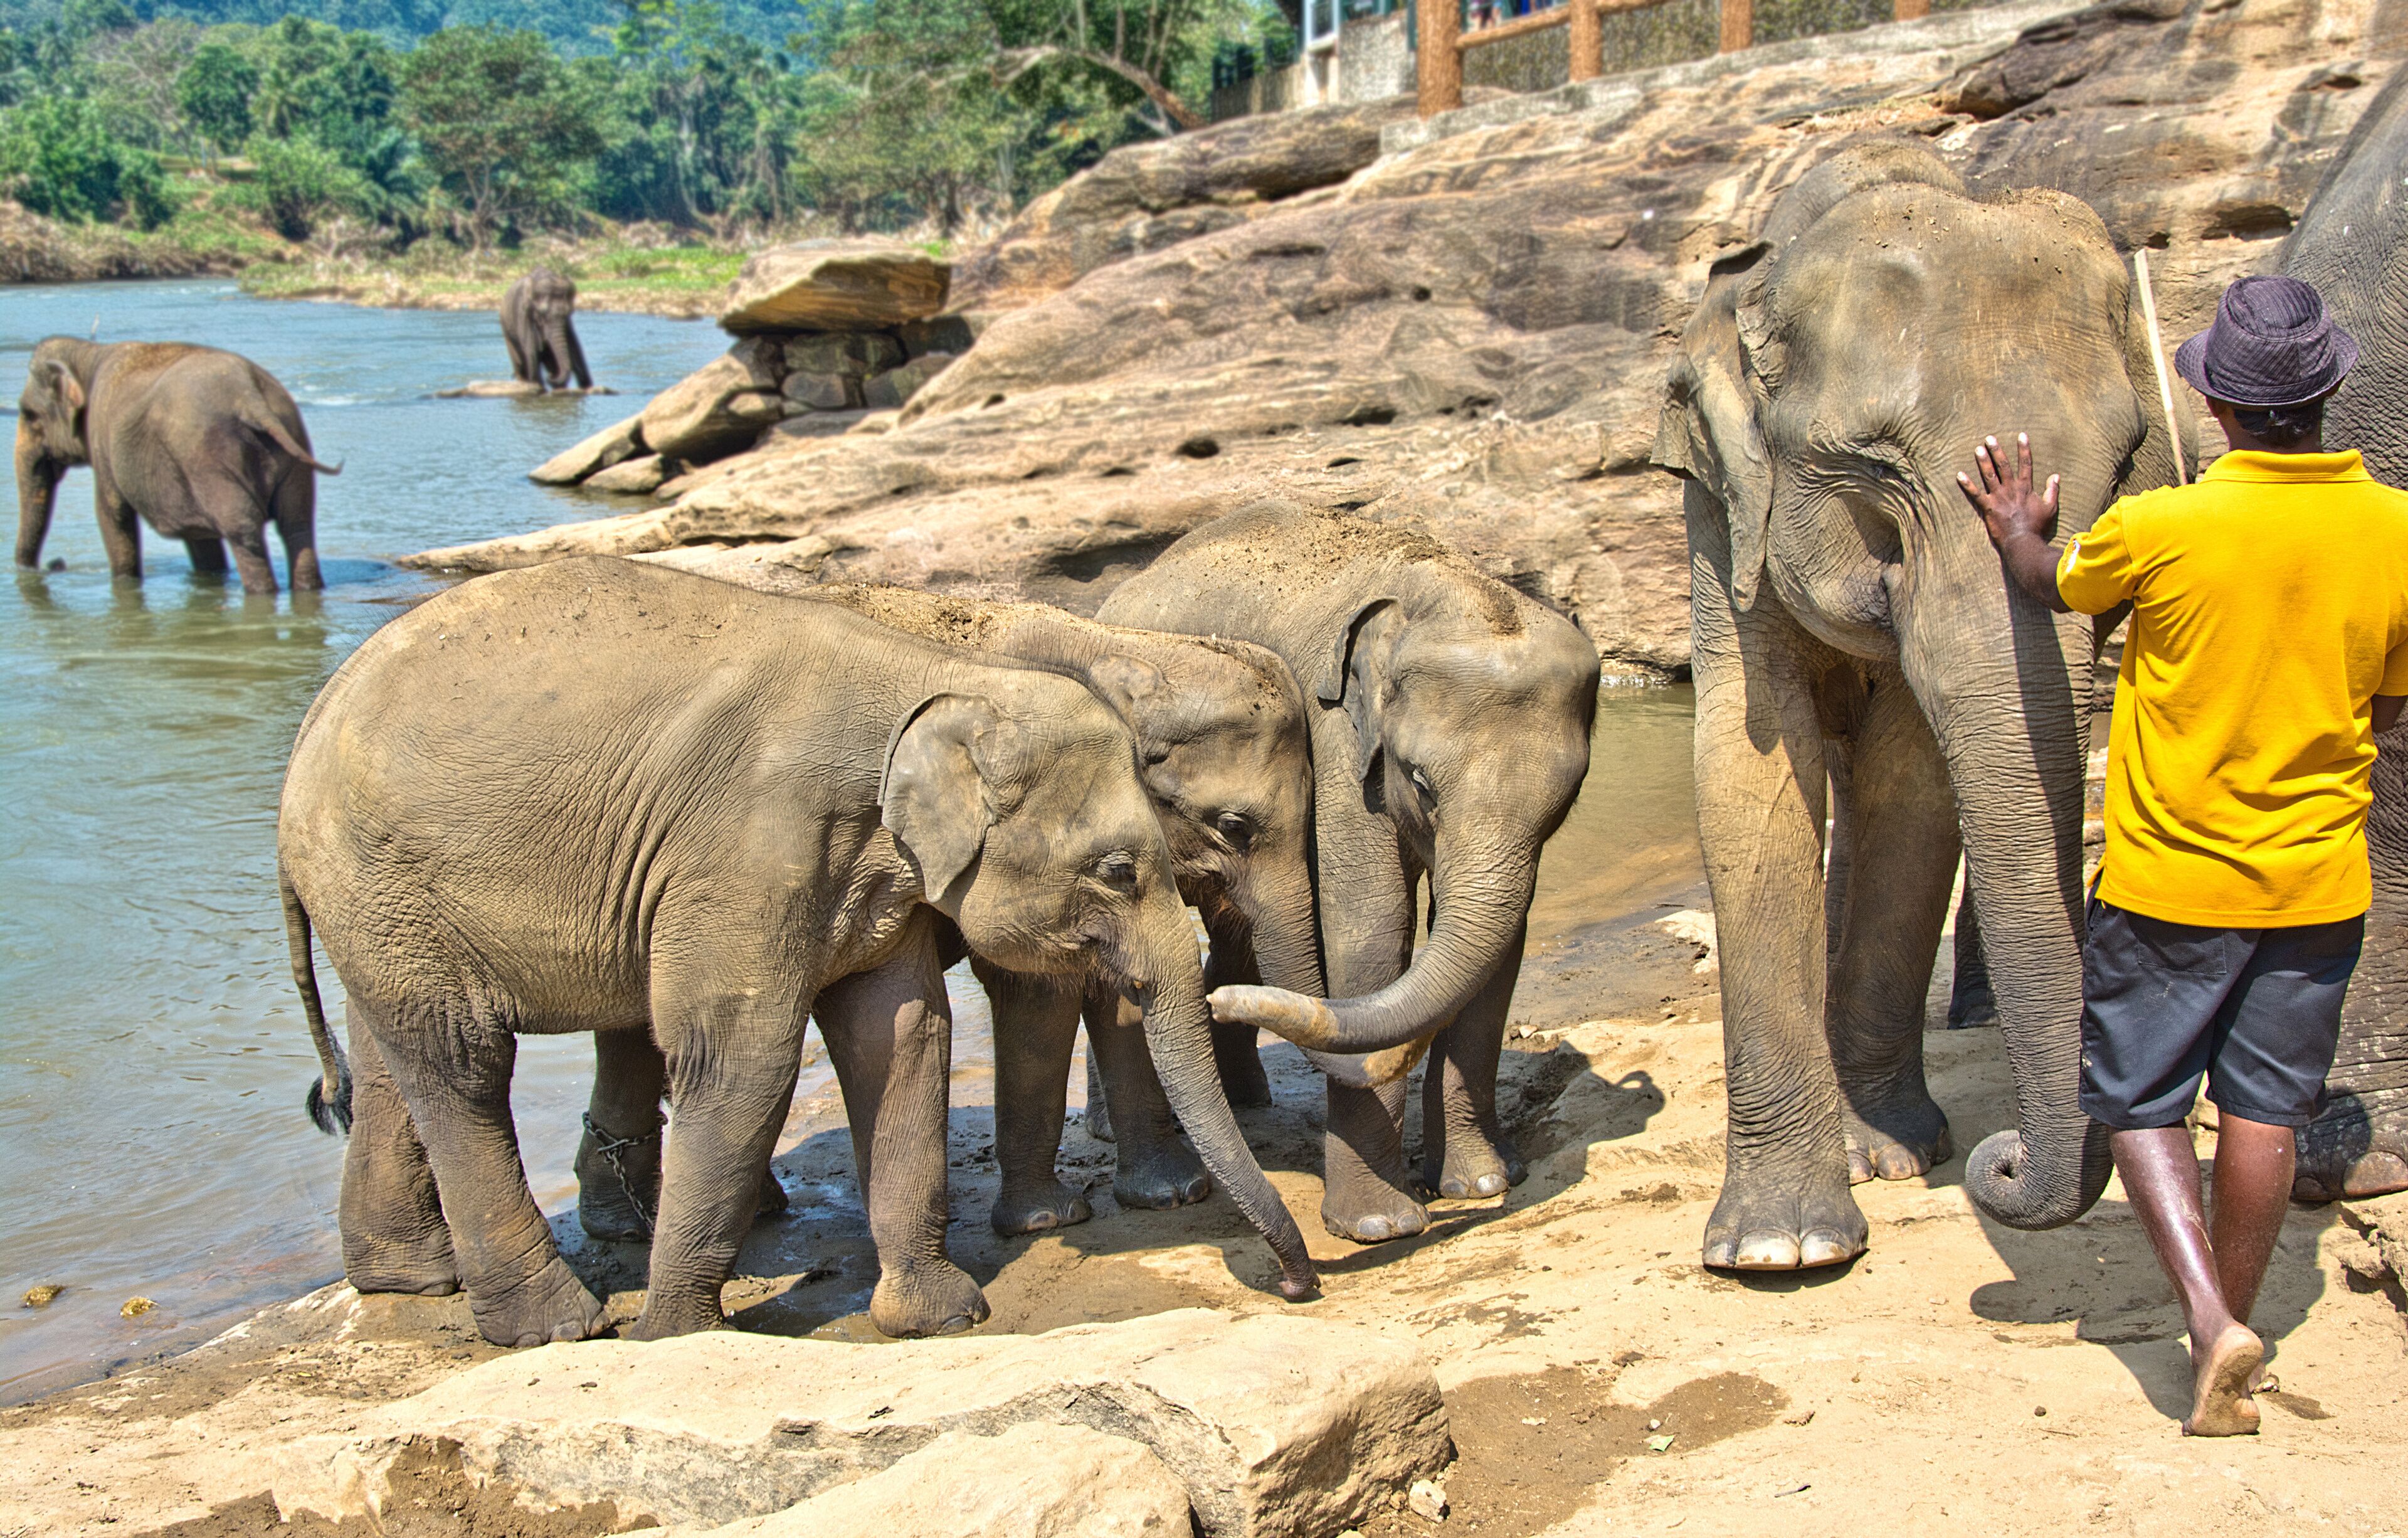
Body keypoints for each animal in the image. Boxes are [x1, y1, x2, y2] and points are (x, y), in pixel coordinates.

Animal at [15, 338, 333, 595]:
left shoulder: (101, 438)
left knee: (244, 531)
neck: (88, 353)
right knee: (297, 525)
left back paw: (261, 594)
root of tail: (251, 395)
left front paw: (124, 581)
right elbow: (200, 537)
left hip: (209, 460)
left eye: (29, 415)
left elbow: (112, 514)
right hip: (291, 447)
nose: (54, 564)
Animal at [501, 266, 592, 393]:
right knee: (520, 363)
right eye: (542, 314)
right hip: (507, 333)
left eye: (569, 312)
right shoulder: (523, 315)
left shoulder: (567, 324)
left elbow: (575, 347)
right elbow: (531, 352)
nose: (550, 377)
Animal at [571, 582, 1323, 1243]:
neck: (1120, 647)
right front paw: (1055, 1220)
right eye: (1234, 826)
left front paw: (1168, 1196)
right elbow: (1038, 987)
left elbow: (1110, 987)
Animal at [1100, 506, 1601, 1244]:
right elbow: (1372, 928)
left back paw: (1245, 1094)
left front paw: (1481, 1183)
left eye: (1567, 799)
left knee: (1238, 930)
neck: (1445, 586)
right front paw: (1380, 1226)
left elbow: (1502, 947)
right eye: (1419, 782)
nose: (1218, 1003)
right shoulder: (1339, 743)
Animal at [1646, 140, 2191, 1269]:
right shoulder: (1721, 510)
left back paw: (1877, 1139)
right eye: (1873, 467)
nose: (2007, 1161)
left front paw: (1890, 1158)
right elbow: (1749, 766)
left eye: (2126, 466)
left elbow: (1917, 781)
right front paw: (1781, 1249)